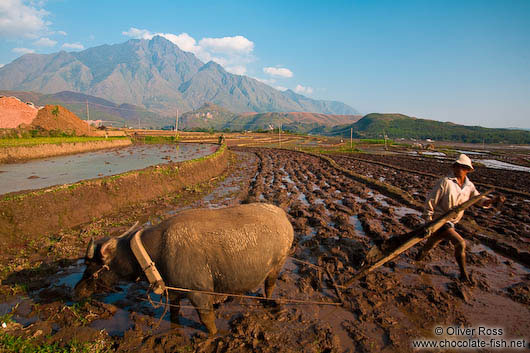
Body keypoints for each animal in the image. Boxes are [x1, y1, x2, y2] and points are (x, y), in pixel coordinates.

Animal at [73, 202, 292, 334]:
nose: (76, 291)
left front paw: (212, 336)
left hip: (278, 264)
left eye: (91, 266)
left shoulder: (200, 293)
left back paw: (269, 302)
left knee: (270, 284)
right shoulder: (174, 291)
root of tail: (283, 217)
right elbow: (174, 312)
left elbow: (207, 321)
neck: (155, 255)